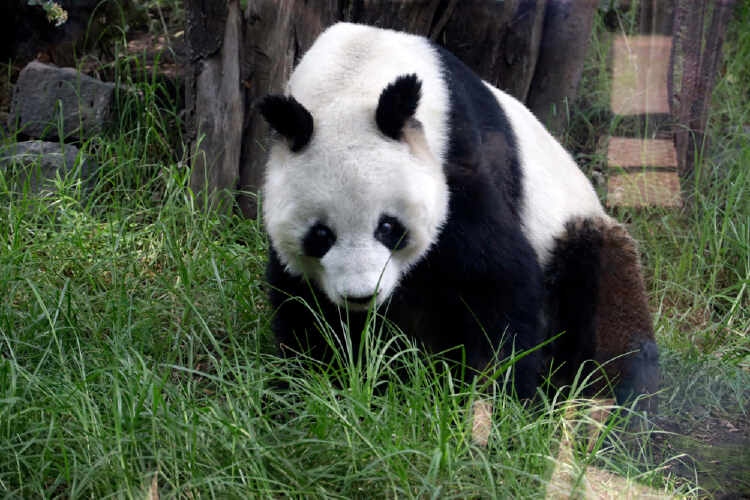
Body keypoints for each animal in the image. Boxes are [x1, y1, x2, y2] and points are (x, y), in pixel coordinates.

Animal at [262, 22, 660, 422]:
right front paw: (315, 396)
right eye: (321, 235)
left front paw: (492, 406)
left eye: (387, 227)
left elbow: (498, 282)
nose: (361, 296)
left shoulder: (458, 160)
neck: (354, 74)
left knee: (602, 293)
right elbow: (305, 308)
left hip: (575, 231)